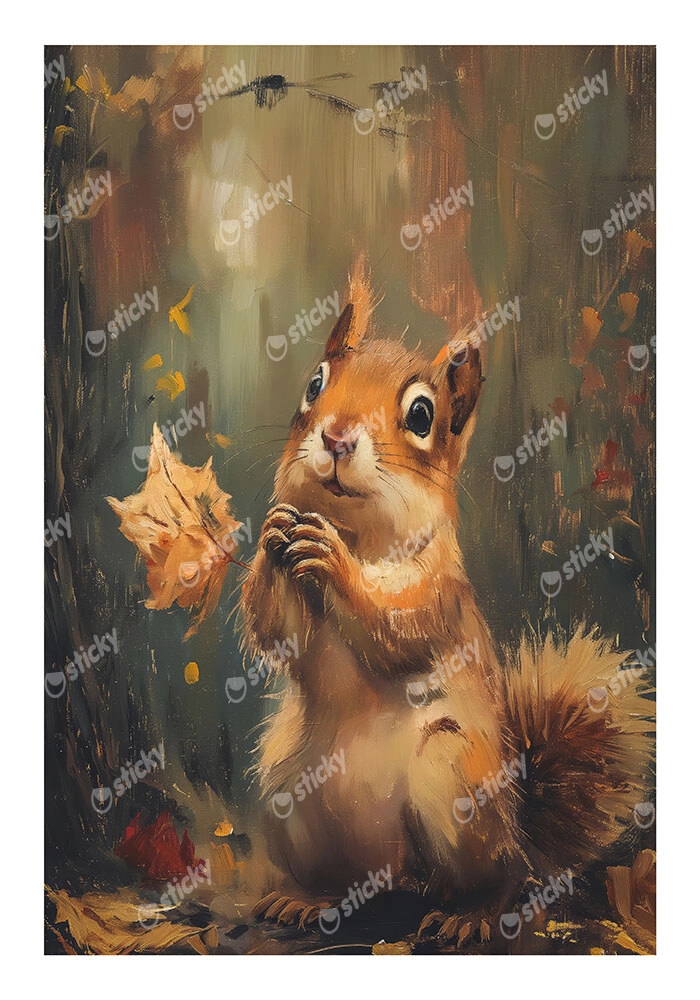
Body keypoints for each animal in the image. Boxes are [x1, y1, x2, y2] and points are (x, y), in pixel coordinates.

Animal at [240, 259, 654, 939]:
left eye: (421, 415)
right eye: (314, 382)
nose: (336, 437)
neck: (361, 534)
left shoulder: (441, 593)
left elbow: (399, 627)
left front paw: (337, 566)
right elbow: (278, 632)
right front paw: (272, 542)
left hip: (457, 776)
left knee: (494, 881)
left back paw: (469, 914)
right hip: (286, 785)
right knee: (347, 881)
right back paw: (309, 899)